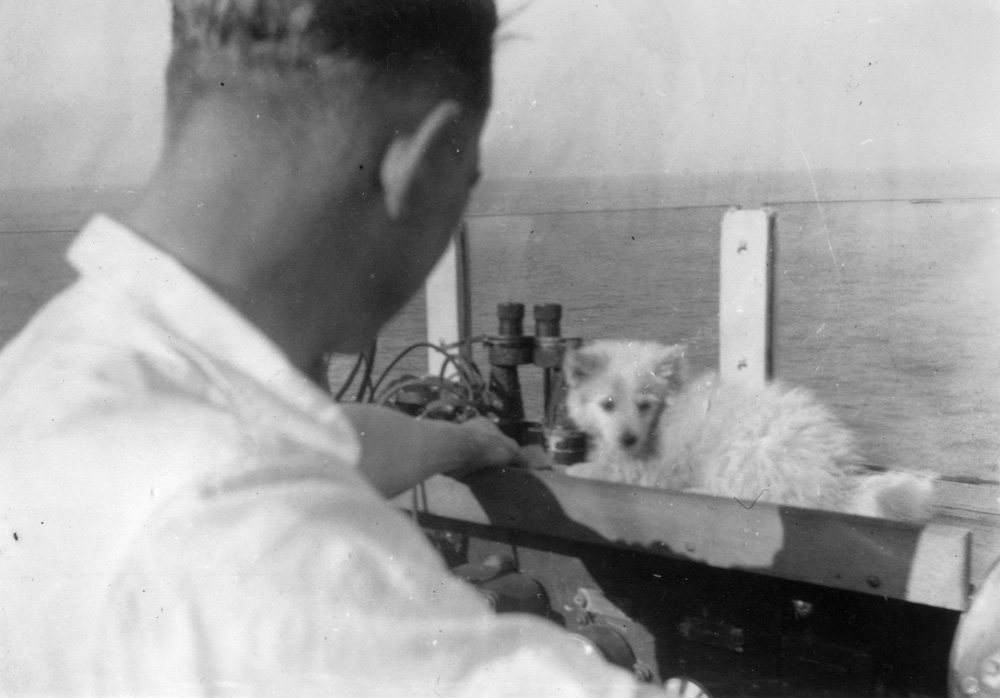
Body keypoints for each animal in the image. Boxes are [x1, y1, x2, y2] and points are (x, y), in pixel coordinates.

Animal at [564, 340, 936, 520]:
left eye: (644, 405)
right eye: (607, 404)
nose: (627, 438)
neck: (665, 412)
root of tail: (833, 482)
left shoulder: (647, 467)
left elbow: (605, 470)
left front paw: (578, 468)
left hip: (748, 450)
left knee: (759, 496)